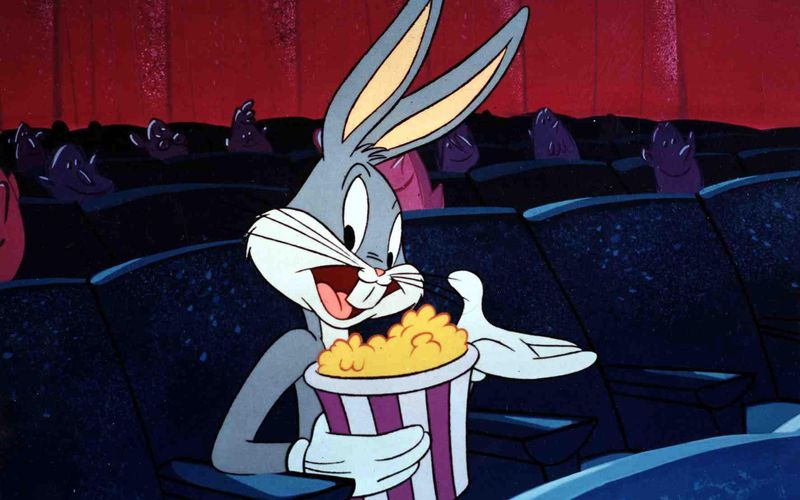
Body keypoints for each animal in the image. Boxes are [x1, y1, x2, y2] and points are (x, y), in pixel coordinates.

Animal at [213, 1, 529, 496]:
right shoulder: (291, 348)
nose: (381, 269)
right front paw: (353, 457)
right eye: (349, 230)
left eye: (396, 247)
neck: (331, 333)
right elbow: (230, 448)